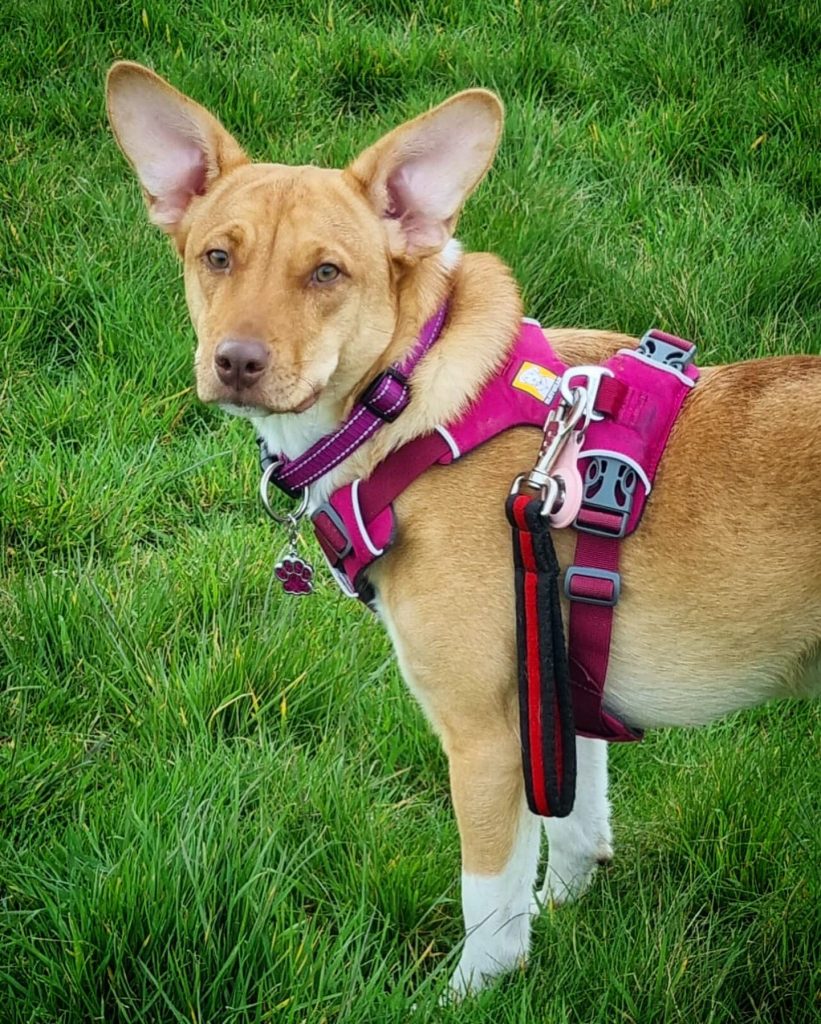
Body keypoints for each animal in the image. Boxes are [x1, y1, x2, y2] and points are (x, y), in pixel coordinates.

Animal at [106, 61, 818, 991]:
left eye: (327, 273)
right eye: (215, 257)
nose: (236, 362)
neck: (409, 407)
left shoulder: (483, 737)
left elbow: (489, 904)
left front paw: (475, 988)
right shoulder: (556, 697)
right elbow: (575, 827)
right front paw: (564, 913)